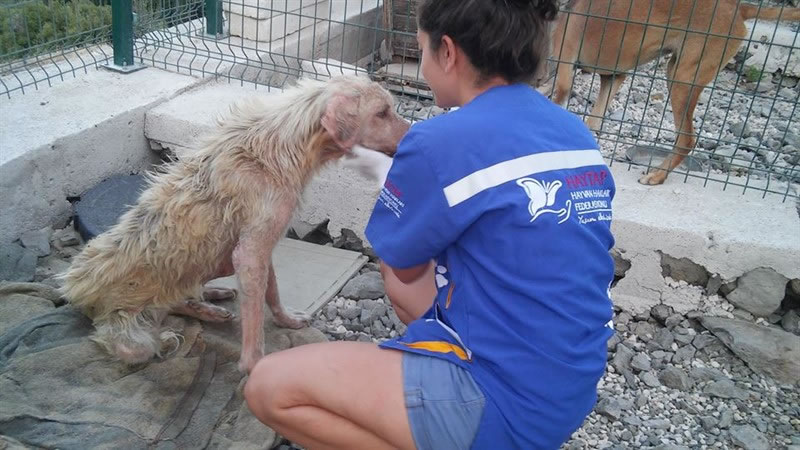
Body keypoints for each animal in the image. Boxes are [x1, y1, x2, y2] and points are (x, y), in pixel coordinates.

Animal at [57, 75, 406, 372]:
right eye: (382, 112)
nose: (413, 134)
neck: (280, 147)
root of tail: (74, 290)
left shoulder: (260, 247)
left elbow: (273, 293)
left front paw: (287, 320)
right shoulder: (251, 253)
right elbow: (254, 324)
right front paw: (254, 367)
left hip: (216, 259)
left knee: (178, 299)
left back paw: (209, 303)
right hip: (134, 327)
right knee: (150, 333)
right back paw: (172, 332)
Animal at [544, 0, 800, 185]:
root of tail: (737, 7)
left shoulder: (564, 77)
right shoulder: (614, 76)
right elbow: (592, 122)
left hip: (682, 78)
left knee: (686, 139)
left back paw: (658, 175)